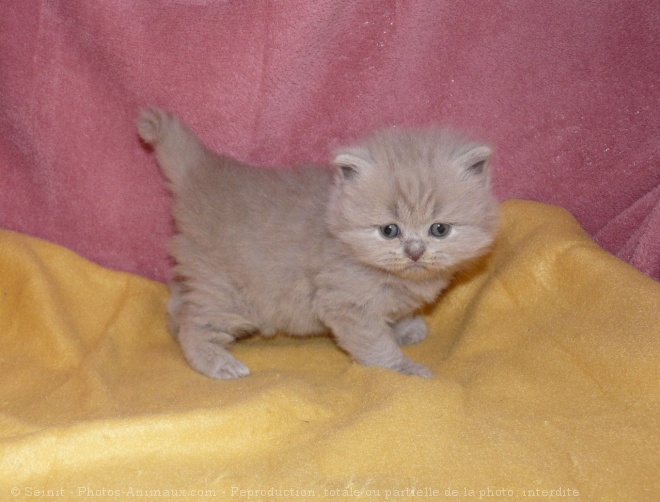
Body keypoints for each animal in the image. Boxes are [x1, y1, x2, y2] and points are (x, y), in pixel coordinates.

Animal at [137, 108, 498, 378]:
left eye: (439, 229)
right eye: (389, 230)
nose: (414, 251)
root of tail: (202, 172)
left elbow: (392, 317)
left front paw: (406, 328)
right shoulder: (346, 304)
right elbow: (376, 345)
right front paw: (405, 368)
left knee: (179, 304)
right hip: (226, 291)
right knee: (194, 325)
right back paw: (220, 363)